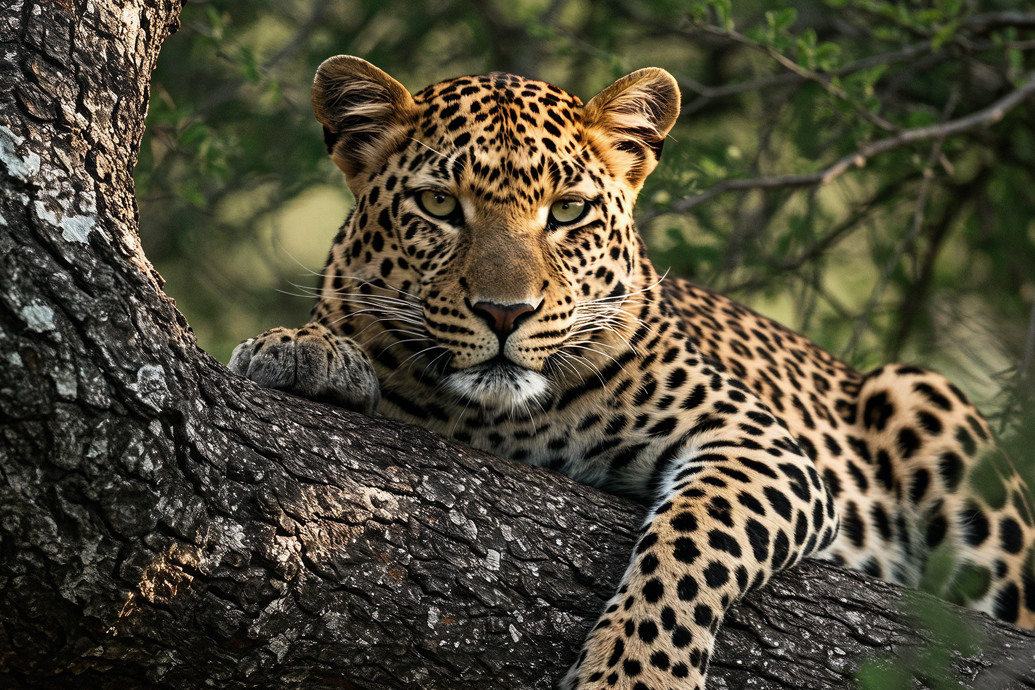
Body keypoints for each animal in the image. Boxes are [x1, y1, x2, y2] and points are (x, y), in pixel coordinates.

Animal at [228, 55, 1035, 689]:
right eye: (437, 204)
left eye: (567, 212)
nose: (503, 313)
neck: (493, 419)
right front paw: (304, 349)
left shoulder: (759, 445)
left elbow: (693, 545)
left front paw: (633, 676)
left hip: (925, 401)